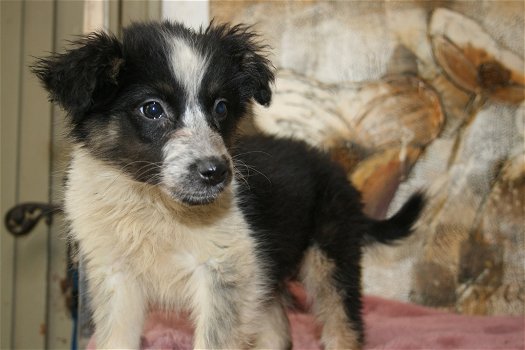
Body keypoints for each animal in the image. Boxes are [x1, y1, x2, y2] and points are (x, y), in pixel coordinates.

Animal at [32, 20, 424, 348]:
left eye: (220, 107)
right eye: (152, 109)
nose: (217, 172)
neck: (154, 203)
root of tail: (334, 167)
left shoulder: (225, 272)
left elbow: (215, 340)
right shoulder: (116, 277)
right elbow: (116, 339)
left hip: (330, 256)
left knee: (343, 325)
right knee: (278, 332)